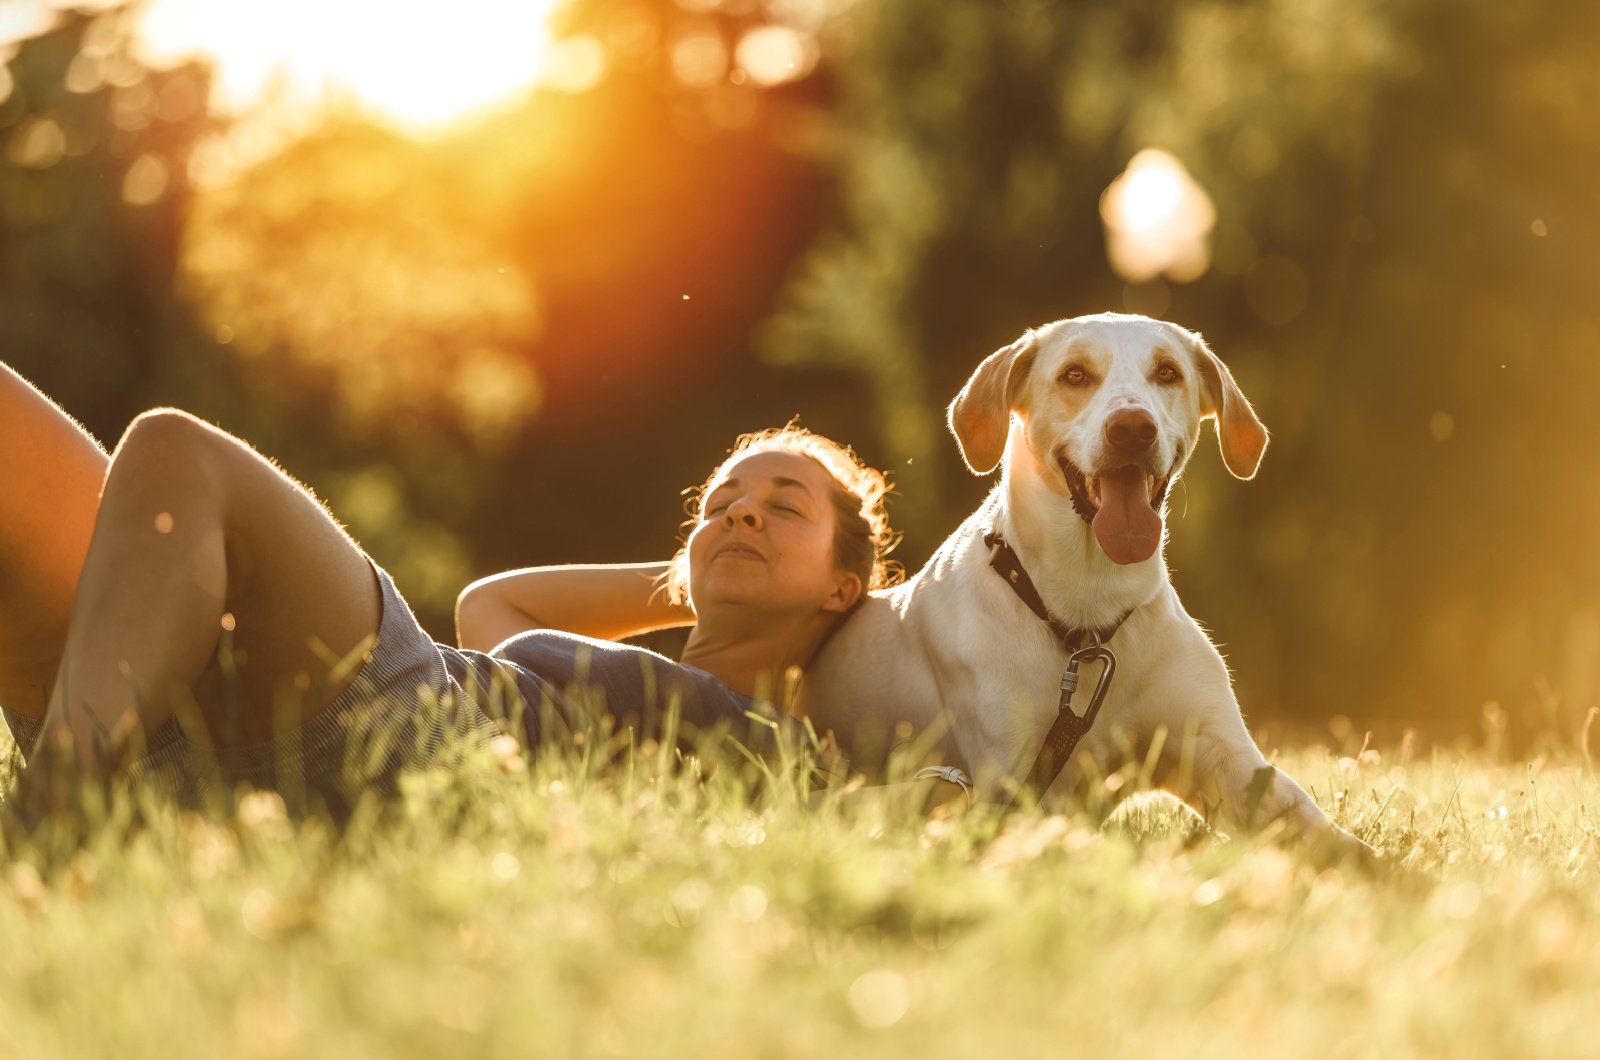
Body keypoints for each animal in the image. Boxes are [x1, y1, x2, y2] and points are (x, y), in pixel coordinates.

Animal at [806, 309, 1369, 858]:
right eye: (1074, 375)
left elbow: (1336, 841)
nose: (1132, 428)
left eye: (1168, 372)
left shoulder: (1225, 754)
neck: (1089, 609)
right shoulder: (1015, 781)